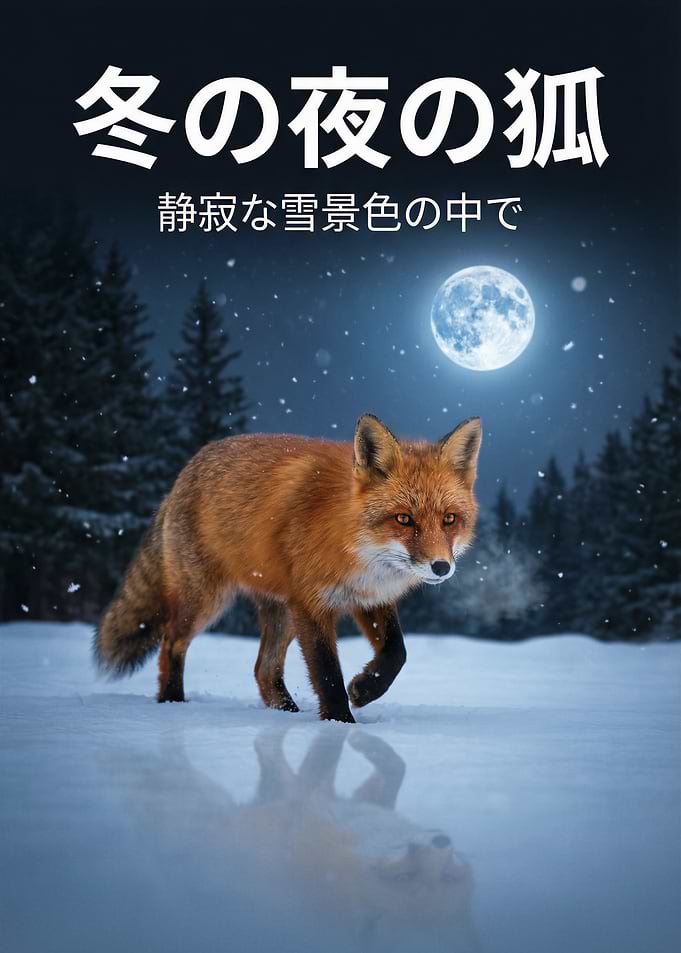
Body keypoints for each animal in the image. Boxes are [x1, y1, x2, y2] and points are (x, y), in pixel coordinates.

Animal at [94, 413, 482, 722]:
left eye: (449, 520)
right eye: (404, 519)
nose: (440, 567)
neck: (352, 542)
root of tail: (185, 471)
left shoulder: (369, 597)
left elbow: (396, 653)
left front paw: (364, 689)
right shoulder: (311, 604)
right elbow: (327, 675)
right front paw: (340, 727)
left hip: (280, 611)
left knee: (263, 670)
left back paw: (285, 715)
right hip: (206, 600)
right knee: (171, 643)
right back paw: (173, 703)